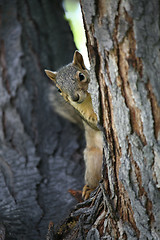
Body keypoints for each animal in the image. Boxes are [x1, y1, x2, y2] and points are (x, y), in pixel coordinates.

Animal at [45, 50, 102, 199]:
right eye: (58, 90)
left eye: (81, 76)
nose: (75, 98)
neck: (87, 100)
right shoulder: (82, 114)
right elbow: (93, 124)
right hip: (93, 159)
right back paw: (90, 188)